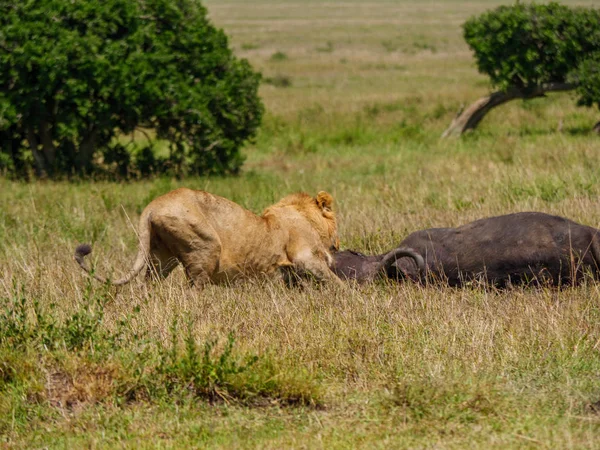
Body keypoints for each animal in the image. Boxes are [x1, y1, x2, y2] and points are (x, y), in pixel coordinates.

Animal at [73, 187, 344, 288]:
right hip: (205, 247)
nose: (338, 245)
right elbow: (335, 281)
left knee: (149, 283)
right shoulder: (305, 257)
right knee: (194, 287)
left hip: (162, 256)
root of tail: (152, 205)